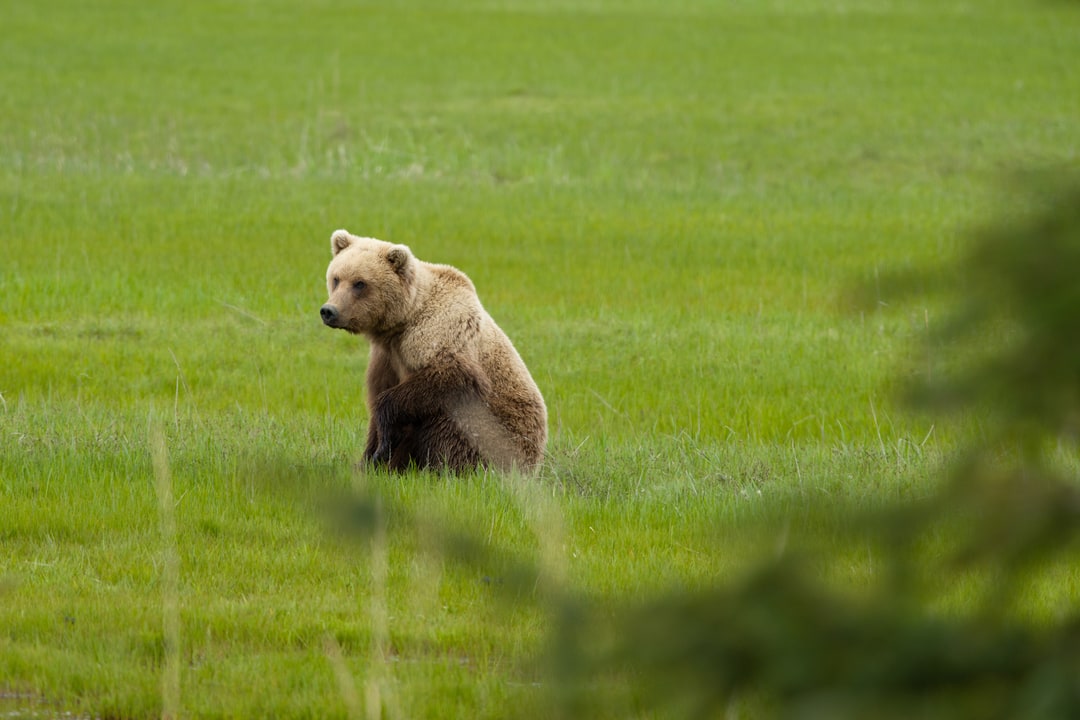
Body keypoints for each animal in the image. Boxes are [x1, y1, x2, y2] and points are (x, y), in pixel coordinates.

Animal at [319, 229, 547, 473]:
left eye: (360, 283)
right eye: (336, 278)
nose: (329, 311)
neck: (403, 322)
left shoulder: (438, 333)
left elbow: (451, 376)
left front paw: (384, 447)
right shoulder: (386, 357)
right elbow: (377, 401)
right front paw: (370, 458)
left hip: (500, 434)